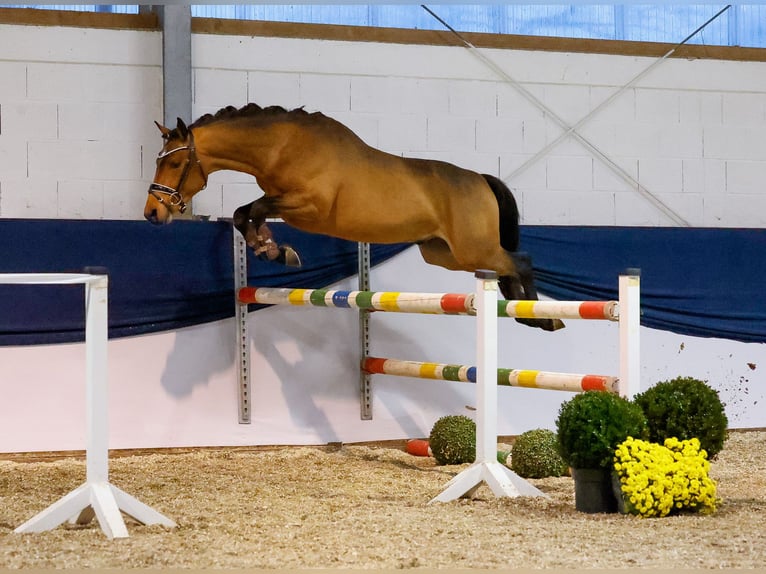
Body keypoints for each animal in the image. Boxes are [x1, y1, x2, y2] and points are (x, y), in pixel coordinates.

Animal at [146, 101, 564, 330]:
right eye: (158, 160)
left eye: (177, 163)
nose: (152, 213)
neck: (283, 147)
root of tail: (479, 179)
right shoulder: (282, 200)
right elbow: (242, 213)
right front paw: (271, 249)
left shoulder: (308, 207)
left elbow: (255, 210)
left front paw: (274, 249)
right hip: (444, 253)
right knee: (507, 267)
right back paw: (527, 314)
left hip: (472, 249)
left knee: (521, 261)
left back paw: (543, 318)